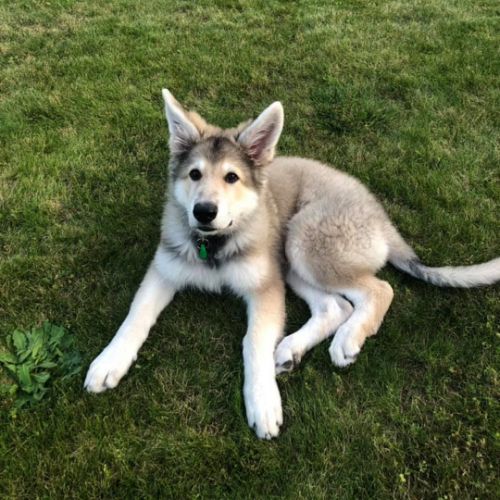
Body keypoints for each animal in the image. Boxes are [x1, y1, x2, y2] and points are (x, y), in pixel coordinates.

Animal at [84, 89, 500, 439]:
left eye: (232, 177)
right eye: (194, 174)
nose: (203, 212)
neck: (215, 245)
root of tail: (382, 218)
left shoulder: (265, 287)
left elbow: (253, 341)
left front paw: (263, 401)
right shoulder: (163, 271)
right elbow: (135, 317)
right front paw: (109, 361)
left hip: (303, 239)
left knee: (380, 289)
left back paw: (347, 339)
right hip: (290, 263)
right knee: (336, 306)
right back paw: (290, 350)